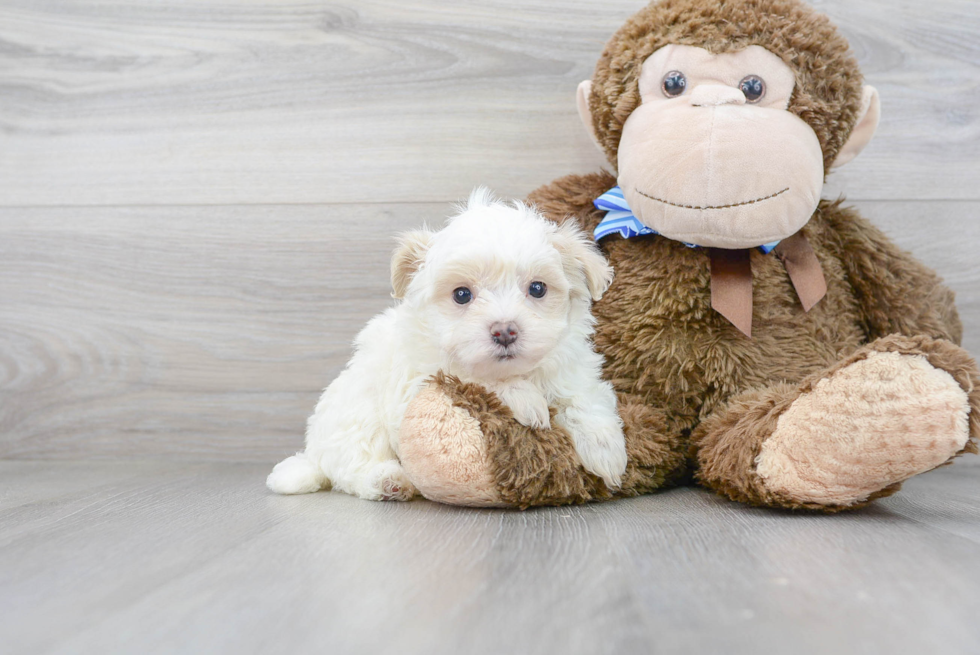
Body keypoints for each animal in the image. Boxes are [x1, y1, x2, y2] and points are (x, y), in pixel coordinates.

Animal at [264, 190, 624, 502]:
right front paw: (525, 399)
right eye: (462, 294)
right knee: (352, 467)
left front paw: (605, 449)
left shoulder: (572, 367)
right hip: (355, 418)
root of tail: (313, 452)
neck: (517, 371)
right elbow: (471, 377)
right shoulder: (417, 384)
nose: (504, 331)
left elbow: (583, 396)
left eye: (537, 288)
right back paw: (388, 481)